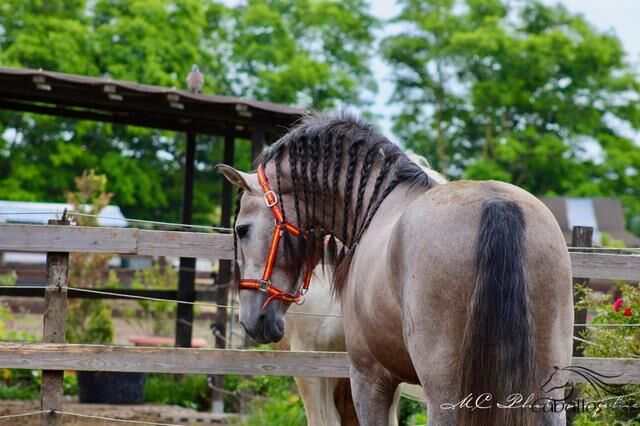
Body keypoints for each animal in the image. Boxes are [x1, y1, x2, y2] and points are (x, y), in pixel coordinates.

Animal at [221, 115, 576, 424]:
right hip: (545, 389)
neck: (377, 205)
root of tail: (498, 205)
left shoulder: (367, 377)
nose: (252, 319)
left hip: (445, 393)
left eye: (242, 229)